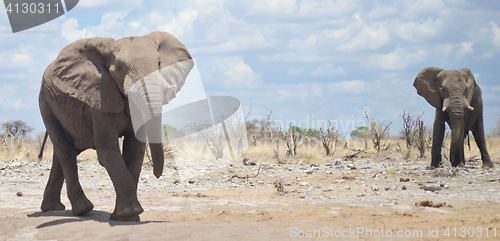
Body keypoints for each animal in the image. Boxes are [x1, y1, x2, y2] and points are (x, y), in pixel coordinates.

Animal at [39, 31, 193, 220]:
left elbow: (135, 151)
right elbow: (107, 151)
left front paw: (128, 218)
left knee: (61, 154)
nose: (157, 175)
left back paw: (52, 208)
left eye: (159, 63)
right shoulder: (99, 93)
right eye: (119, 68)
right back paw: (83, 209)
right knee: (65, 150)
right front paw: (129, 213)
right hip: (46, 104)